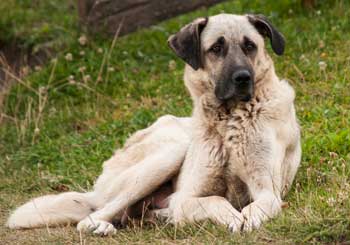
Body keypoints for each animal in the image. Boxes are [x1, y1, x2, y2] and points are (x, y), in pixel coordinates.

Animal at [6, 13, 300, 235]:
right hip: (169, 153)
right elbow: (215, 200)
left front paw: (246, 218)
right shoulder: (186, 198)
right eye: (216, 48)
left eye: (250, 45)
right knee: (90, 217)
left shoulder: (267, 192)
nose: (242, 78)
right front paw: (232, 216)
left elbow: (254, 207)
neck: (228, 122)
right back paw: (102, 226)